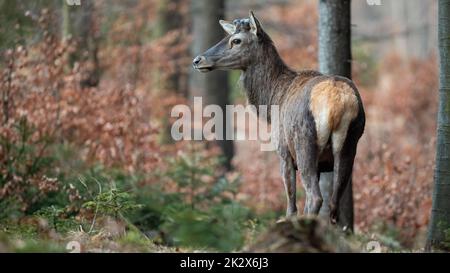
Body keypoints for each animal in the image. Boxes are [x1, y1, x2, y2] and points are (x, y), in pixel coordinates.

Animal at [192, 11, 364, 223]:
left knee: (315, 197)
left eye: (236, 40)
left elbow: (291, 206)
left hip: (304, 143)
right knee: (333, 204)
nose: (198, 60)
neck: (271, 101)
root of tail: (337, 102)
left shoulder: (283, 152)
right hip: (349, 145)